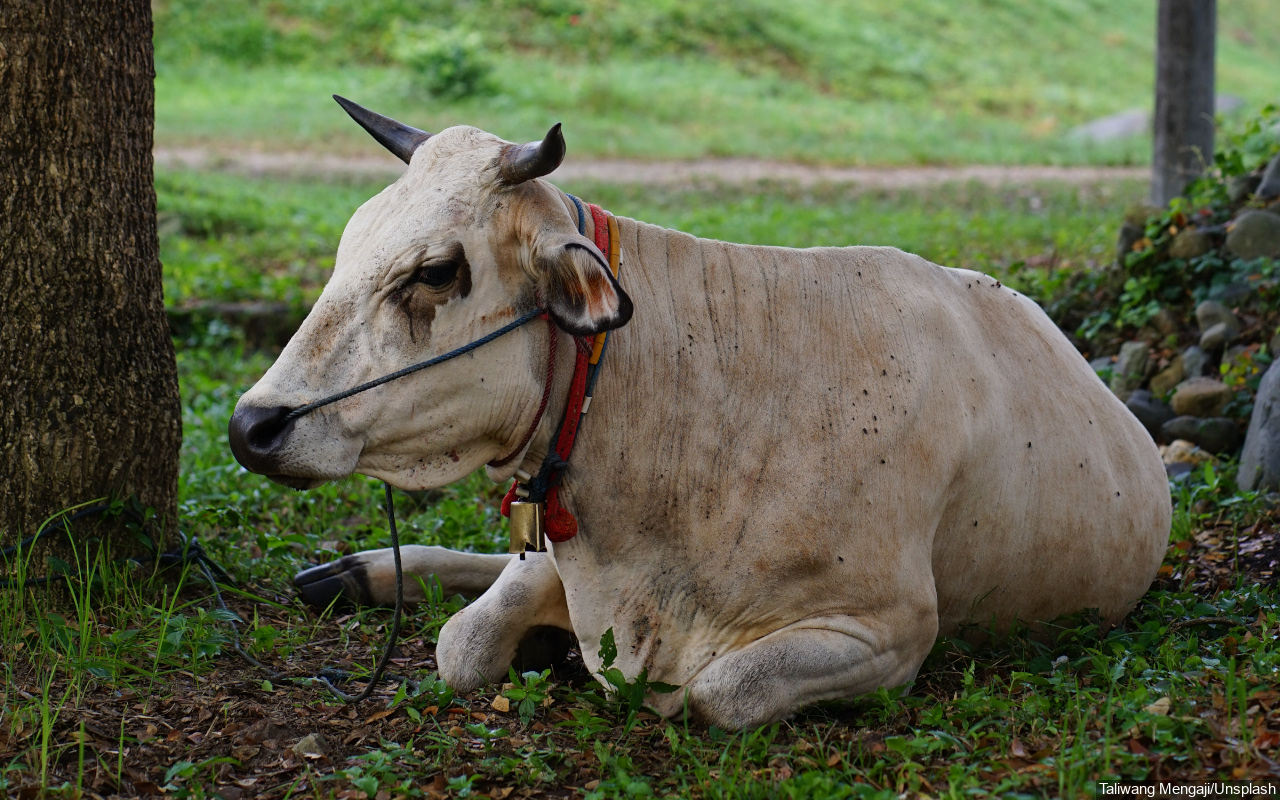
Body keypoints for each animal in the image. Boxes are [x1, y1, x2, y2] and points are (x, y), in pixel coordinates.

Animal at [227, 98, 1172, 732]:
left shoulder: (892, 631)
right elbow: (465, 640)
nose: (253, 426)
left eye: (434, 271)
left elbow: (719, 693)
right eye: (350, 243)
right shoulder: (564, 557)